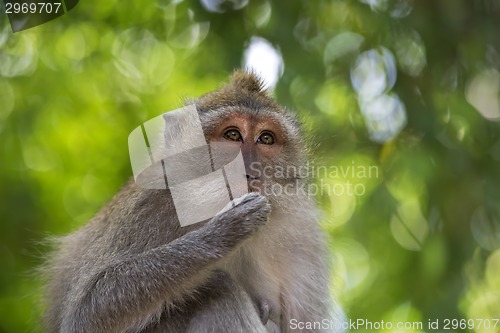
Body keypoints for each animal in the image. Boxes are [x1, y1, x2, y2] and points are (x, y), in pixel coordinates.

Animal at [43, 70, 342, 332]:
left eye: (266, 138)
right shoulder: (151, 204)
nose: (250, 171)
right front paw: (222, 233)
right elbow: (89, 313)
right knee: (220, 287)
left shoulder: (303, 236)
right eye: (232, 135)